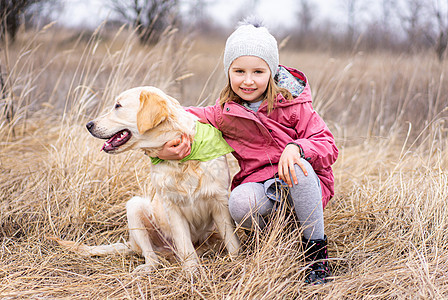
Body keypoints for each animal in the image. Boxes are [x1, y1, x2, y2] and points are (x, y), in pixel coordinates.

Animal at [53, 86, 240, 272]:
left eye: (118, 106)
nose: (88, 125)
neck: (182, 161)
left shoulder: (220, 202)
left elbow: (232, 241)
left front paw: (236, 262)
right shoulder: (172, 208)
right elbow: (185, 246)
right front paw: (192, 272)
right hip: (135, 206)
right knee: (152, 258)